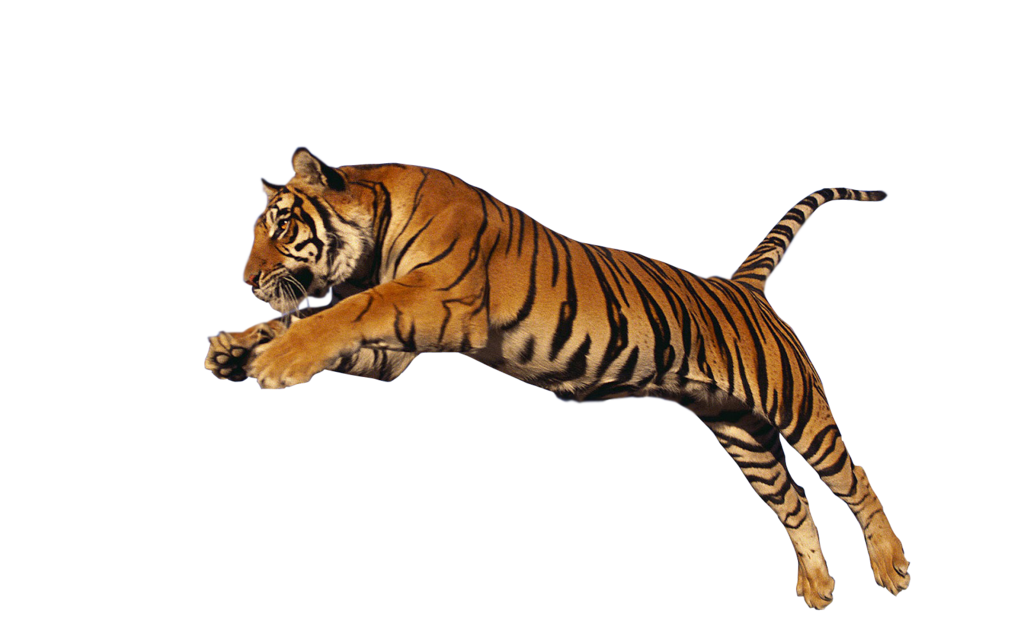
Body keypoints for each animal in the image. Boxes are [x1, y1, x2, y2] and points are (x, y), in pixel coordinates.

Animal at [203, 146, 910, 609]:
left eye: (282, 226)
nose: (246, 279)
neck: (374, 239)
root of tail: (744, 285)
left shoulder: (432, 300)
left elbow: (340, 314)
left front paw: (275, 361)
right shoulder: (393, 354)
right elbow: (311, 320)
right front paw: (234, 349)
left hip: (796, 406)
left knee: (855, 478)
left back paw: (892, 567)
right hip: (740, 432)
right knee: (791, 500)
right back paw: (817, 586)